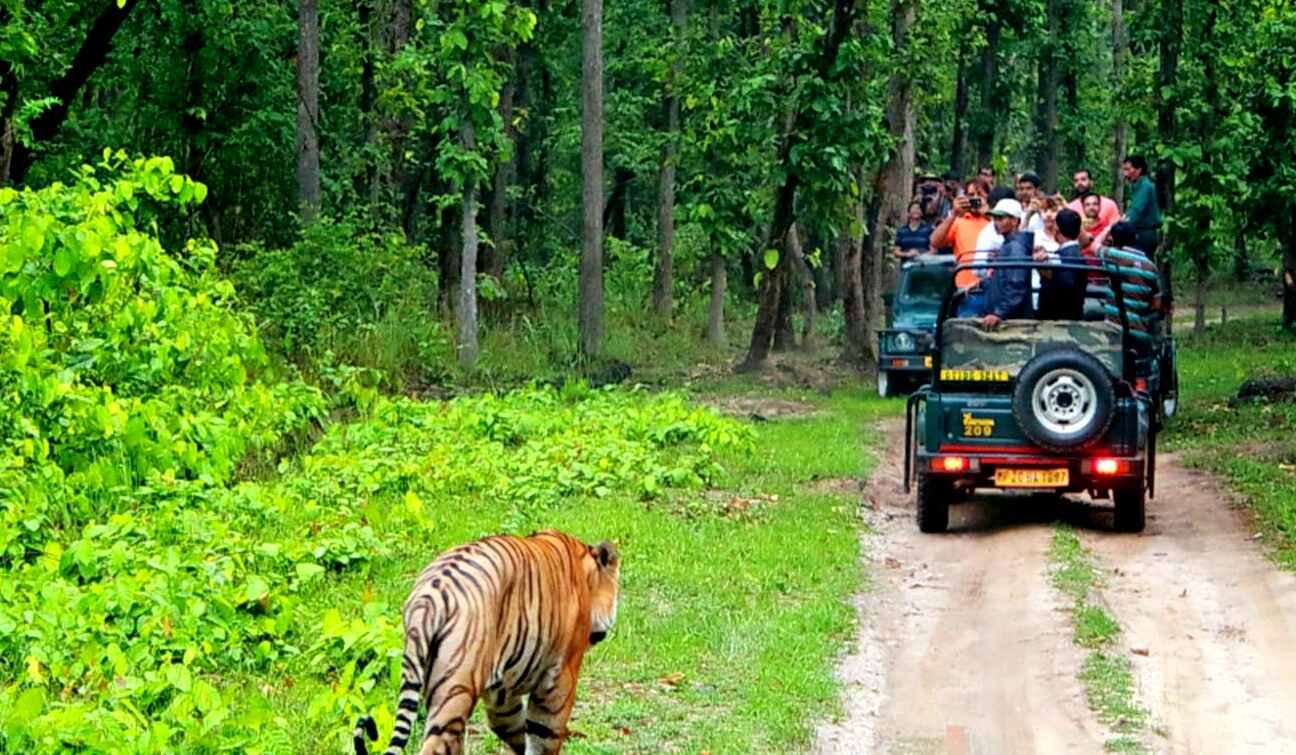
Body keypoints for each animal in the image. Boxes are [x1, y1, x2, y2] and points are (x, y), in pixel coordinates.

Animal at [352, 530, 619, 755]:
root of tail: (429, 597)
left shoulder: (502, 694)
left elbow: (516, 729)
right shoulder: (561, 678)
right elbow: (544, 737)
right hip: (456, 692)